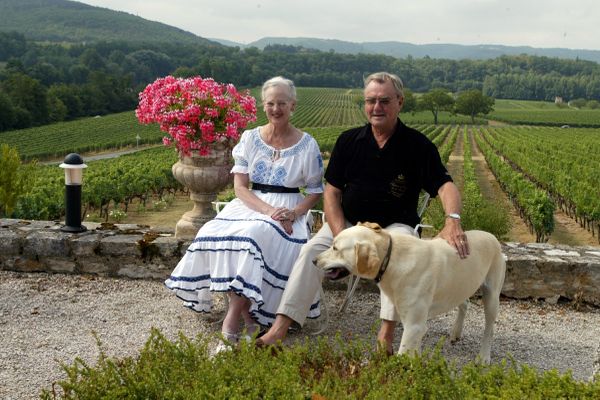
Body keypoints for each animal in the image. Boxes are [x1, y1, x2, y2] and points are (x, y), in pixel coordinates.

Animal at [314, 222, 506, 362]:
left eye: (335, 248)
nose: (314, 260)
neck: (391, 259)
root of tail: (491, 236)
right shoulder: (413, 324)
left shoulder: (413, 325)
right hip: (460, 286)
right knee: (464, 303)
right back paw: (456, 332)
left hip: (491, 297)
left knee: (489, 329)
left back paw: (483, 357)